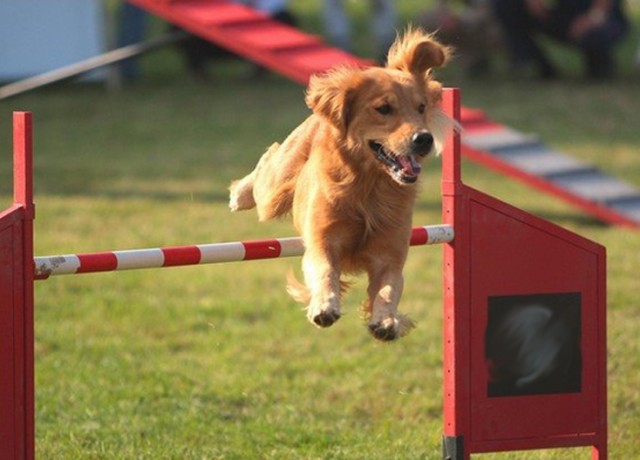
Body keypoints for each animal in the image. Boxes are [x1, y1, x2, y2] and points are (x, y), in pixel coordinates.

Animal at [229, 27, 450, 340]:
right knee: (267, 162)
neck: (368, 187)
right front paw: (324, 306)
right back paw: (239, 194)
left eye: (421, 108)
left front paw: (386, 320)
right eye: (384, 108)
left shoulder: (389, 253)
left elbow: (388, 288)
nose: (424, 139)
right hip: (276, 185)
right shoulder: (323, 241)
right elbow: (325, 272)